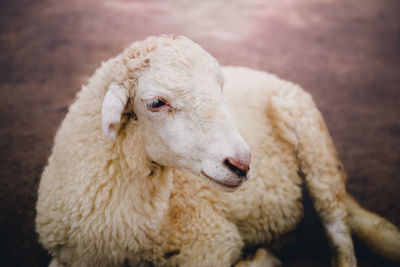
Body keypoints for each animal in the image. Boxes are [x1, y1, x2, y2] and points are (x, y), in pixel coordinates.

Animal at [35, 34, 400, 266]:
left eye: (219, 88)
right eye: (156, 102)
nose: (242, 163)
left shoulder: (212, 240)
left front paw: (260, 259)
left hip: (315, 145)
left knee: (339, 230)